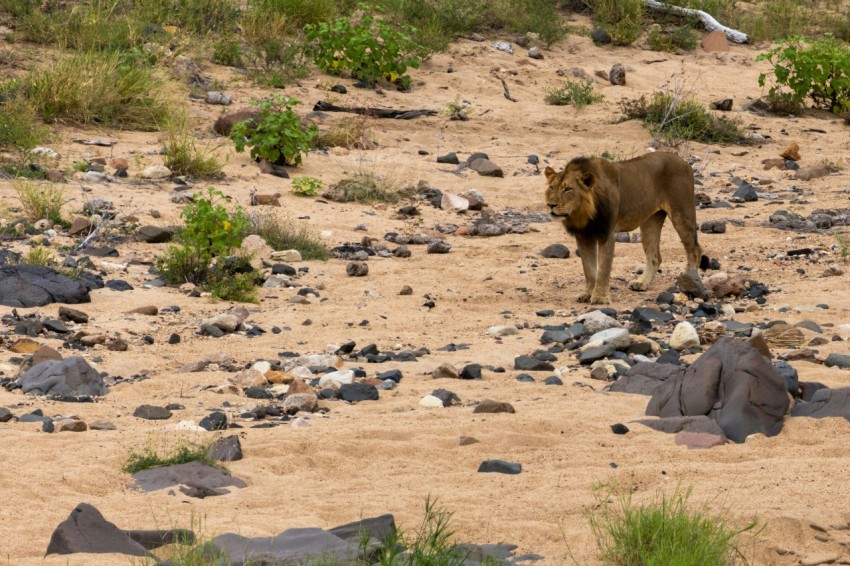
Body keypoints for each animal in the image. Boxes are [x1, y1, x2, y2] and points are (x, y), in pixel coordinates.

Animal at [548, 149, 700, 304]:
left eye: (568, 189)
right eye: (551, 187)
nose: (551, 205)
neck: (583, 213)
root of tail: (685, 162)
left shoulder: (606, 233)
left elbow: (603, 269)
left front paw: (600, 298)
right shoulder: (583, 236)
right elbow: (589, 270)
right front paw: (587, 294)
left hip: (681, 214)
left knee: (695, 250)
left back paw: (690, 281)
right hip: (650, 222)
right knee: (655, 257)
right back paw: (641, 283)